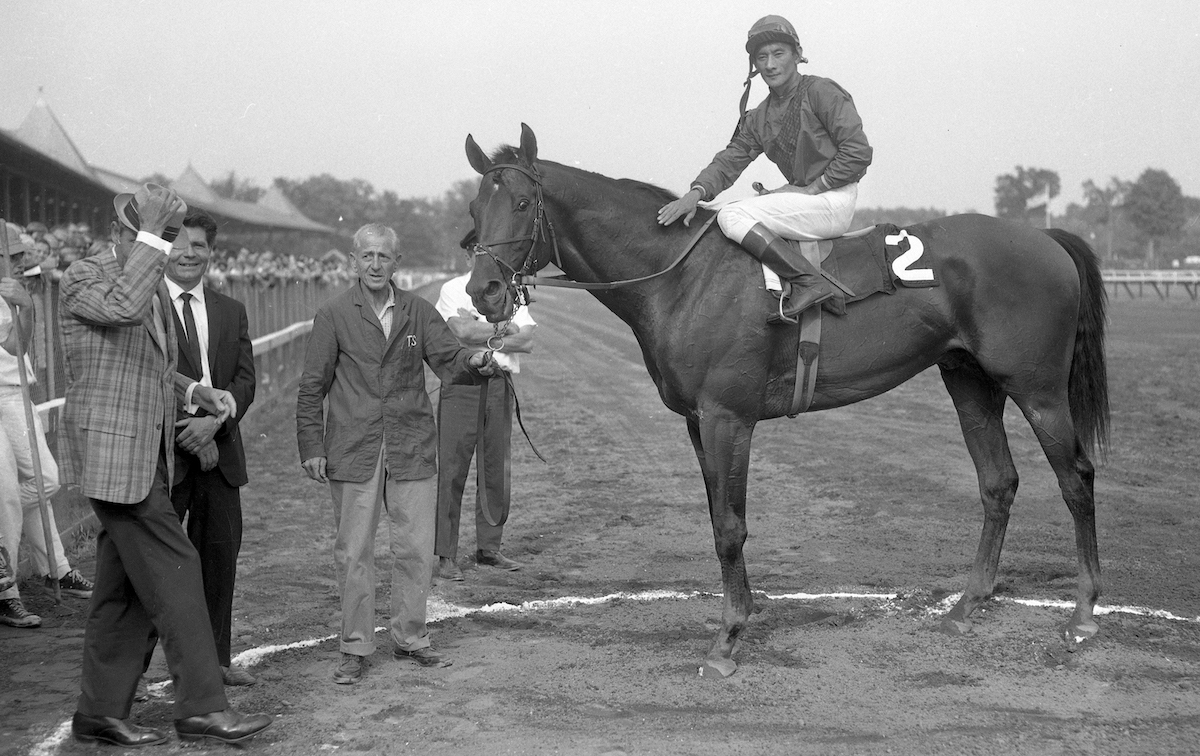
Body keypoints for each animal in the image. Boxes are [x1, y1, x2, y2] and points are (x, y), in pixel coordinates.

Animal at [458, 126, 1104, 681]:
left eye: (522, 203)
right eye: (472, 211)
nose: (482, 291)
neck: (680, 278)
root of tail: (1045, 238)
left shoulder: (728, 419)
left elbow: (730, 527)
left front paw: (727, 639)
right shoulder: (697, 423)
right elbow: (718, 517)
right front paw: (738, 617)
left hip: (1038, 388)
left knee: (1076, 477)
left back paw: (1082, 616)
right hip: (969, 381)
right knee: (998, 482)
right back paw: (970, 603)